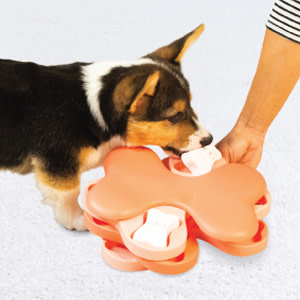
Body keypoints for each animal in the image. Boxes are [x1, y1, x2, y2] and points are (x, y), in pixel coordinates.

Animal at [0, 24, 212, 230]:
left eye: (191, 105)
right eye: (175, 116)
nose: (209, 139)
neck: (94, 107)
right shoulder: (59, 163)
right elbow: (69, 194)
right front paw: (78, 220)